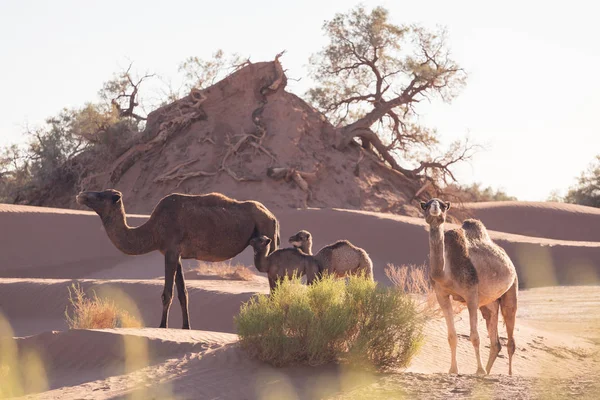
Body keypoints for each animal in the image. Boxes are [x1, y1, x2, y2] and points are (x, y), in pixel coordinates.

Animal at [76, 189, 280, 330]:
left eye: (101, 195)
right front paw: (186, 328)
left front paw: (162, 327)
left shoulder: (171, 251)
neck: (152, 231)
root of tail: (273, 217)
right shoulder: (178, 255)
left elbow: (167, 293)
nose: (81, 194)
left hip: (267, 233)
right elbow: (183, 294)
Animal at [420, 198, 516, 376]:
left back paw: (509, 374)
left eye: (443, 205)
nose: (435, 208)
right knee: (495, 340)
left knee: (510, 336)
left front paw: (479, 370)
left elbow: (474, 336)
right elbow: (452, 336)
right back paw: (488, 371)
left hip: (512, 288)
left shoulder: (471, 295)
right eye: (426, 205)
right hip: (488, 304)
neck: (445, 273)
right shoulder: (441, 295)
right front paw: (453, 369)